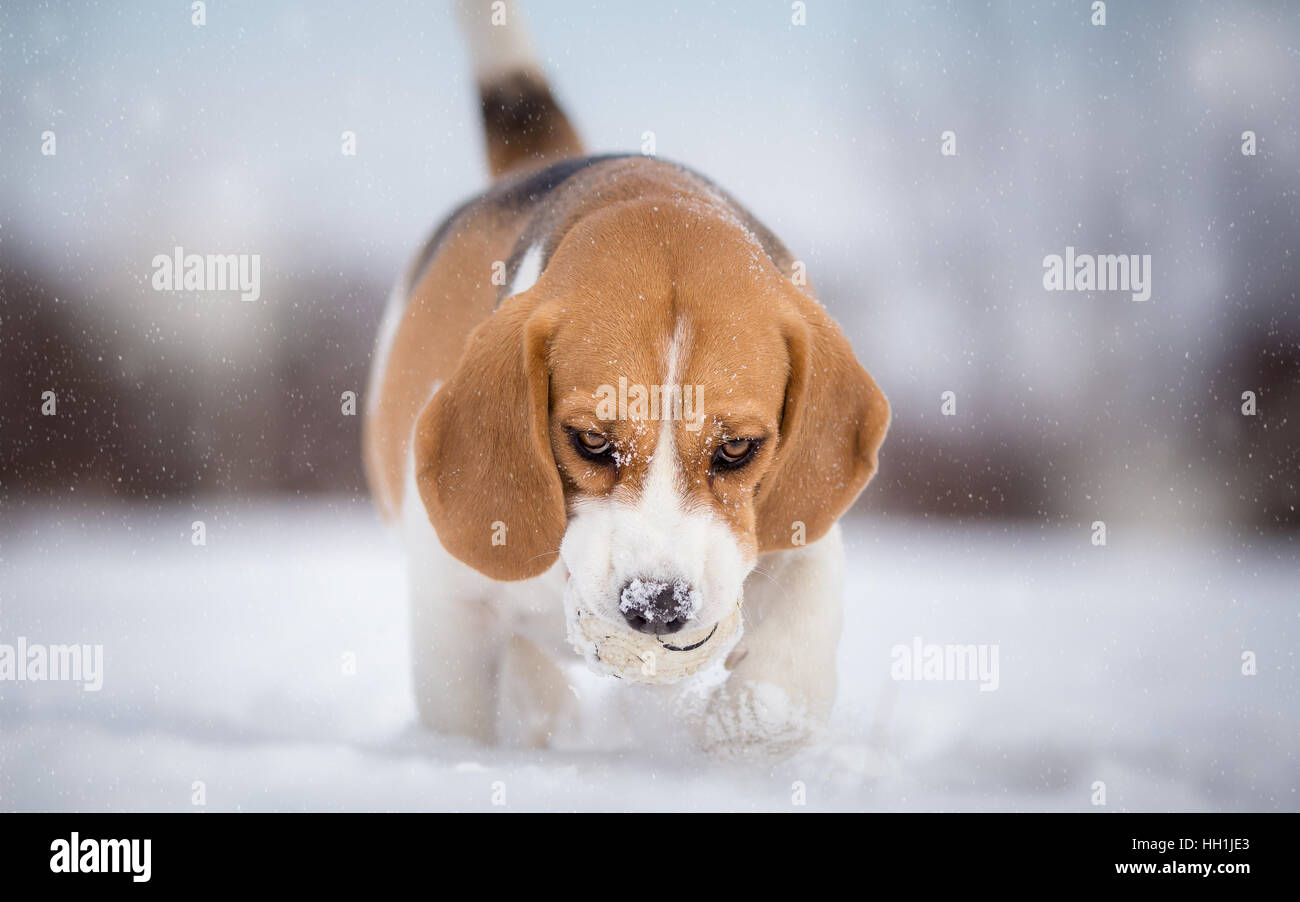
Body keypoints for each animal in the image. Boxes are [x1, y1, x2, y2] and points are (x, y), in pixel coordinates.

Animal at [361, 1, 889, 764]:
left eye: (737, 449)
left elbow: (788, 670)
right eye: (588, 440)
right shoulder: (449, 605)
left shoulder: (802, 539)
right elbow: (459, 714)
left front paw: (743, 736)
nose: (658, 607)